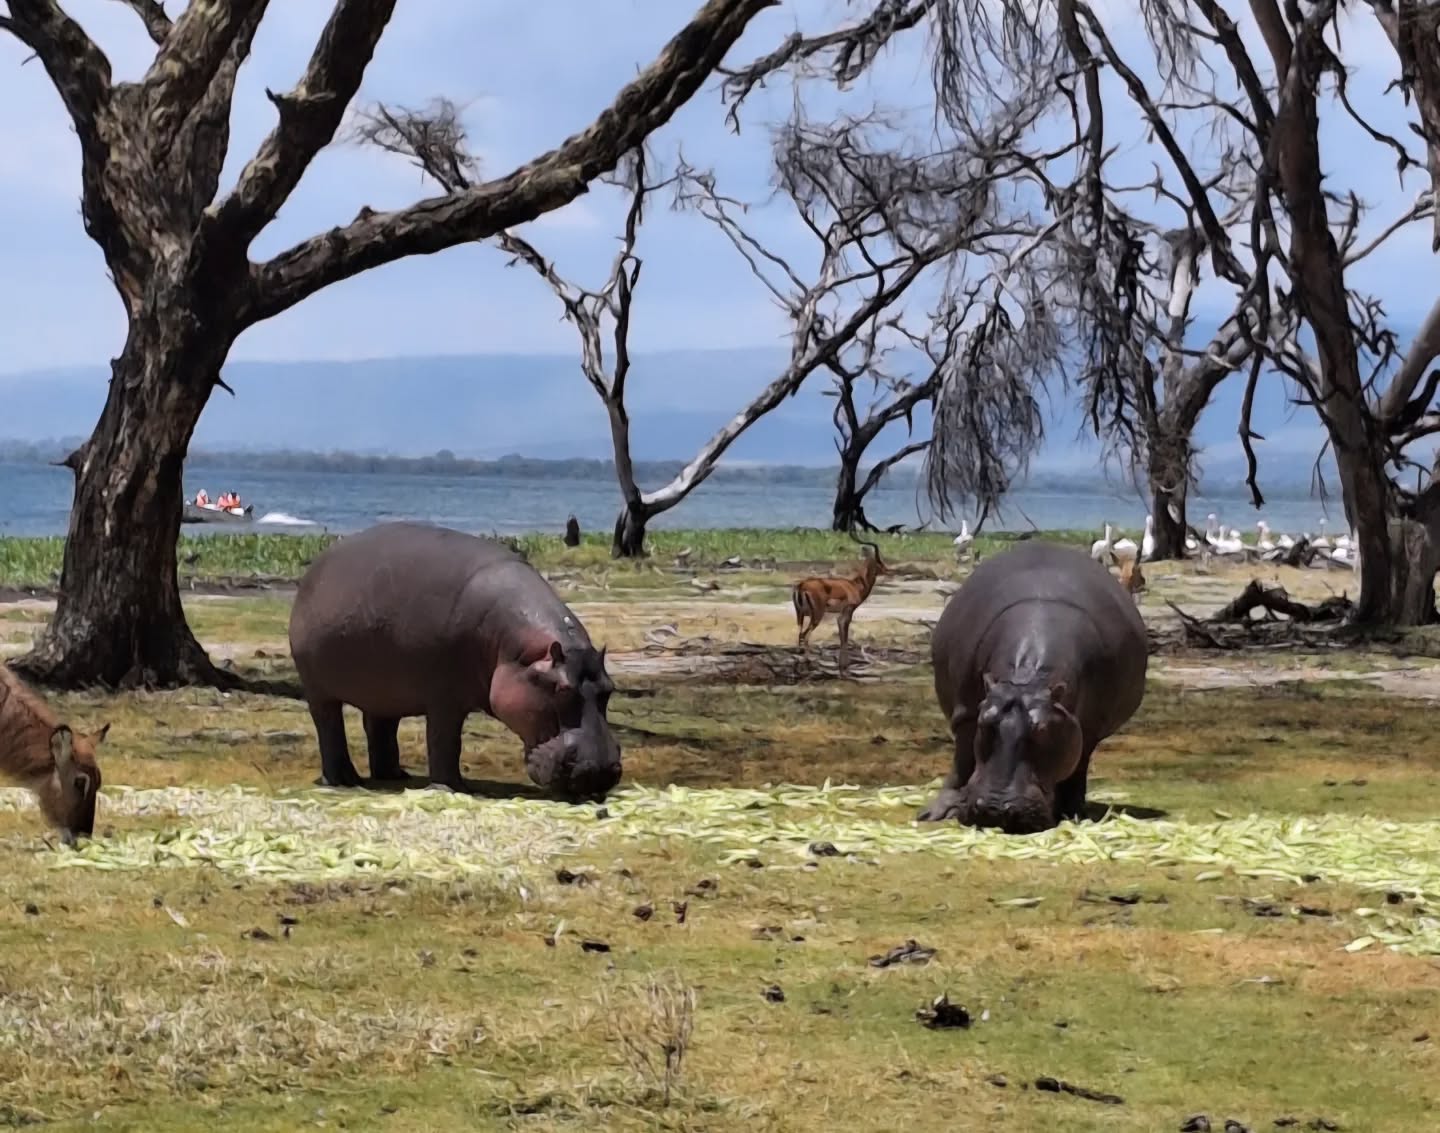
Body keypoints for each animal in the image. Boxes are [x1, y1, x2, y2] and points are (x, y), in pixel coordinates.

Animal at [288, 522, 622, 801]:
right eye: (561, 690)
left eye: (610, 689)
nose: (598, 771)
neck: (521, 653)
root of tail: (315, 567)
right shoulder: (443, 697)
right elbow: (444, 740)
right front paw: (449, 788)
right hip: (318, 688)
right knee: (329, 726)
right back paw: (343, 780)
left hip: (383, 689)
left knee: (380, 725)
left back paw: (395, 775)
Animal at [917, 541, 1148, 833]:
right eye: (986, 722)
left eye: (1043, 729)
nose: (996, 810)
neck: (1026, 682)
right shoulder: (967, 710)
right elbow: (962, 759)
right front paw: (936, 813)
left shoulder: (1086, 726)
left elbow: (1077, 764)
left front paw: (1072, 813)